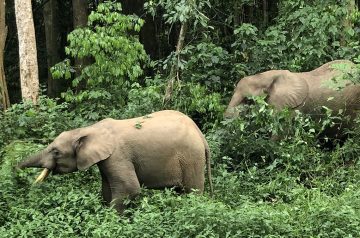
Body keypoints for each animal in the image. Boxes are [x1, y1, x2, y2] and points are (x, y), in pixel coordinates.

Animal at [16, 110, 212, 213]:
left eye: (56, 152)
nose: (14, 169)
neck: (89, 129)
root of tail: (201, 135)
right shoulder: (105, 160)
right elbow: (106, 189)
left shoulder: (118, 155)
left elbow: (129, 188)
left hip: (191, 157)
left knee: (192, 191)